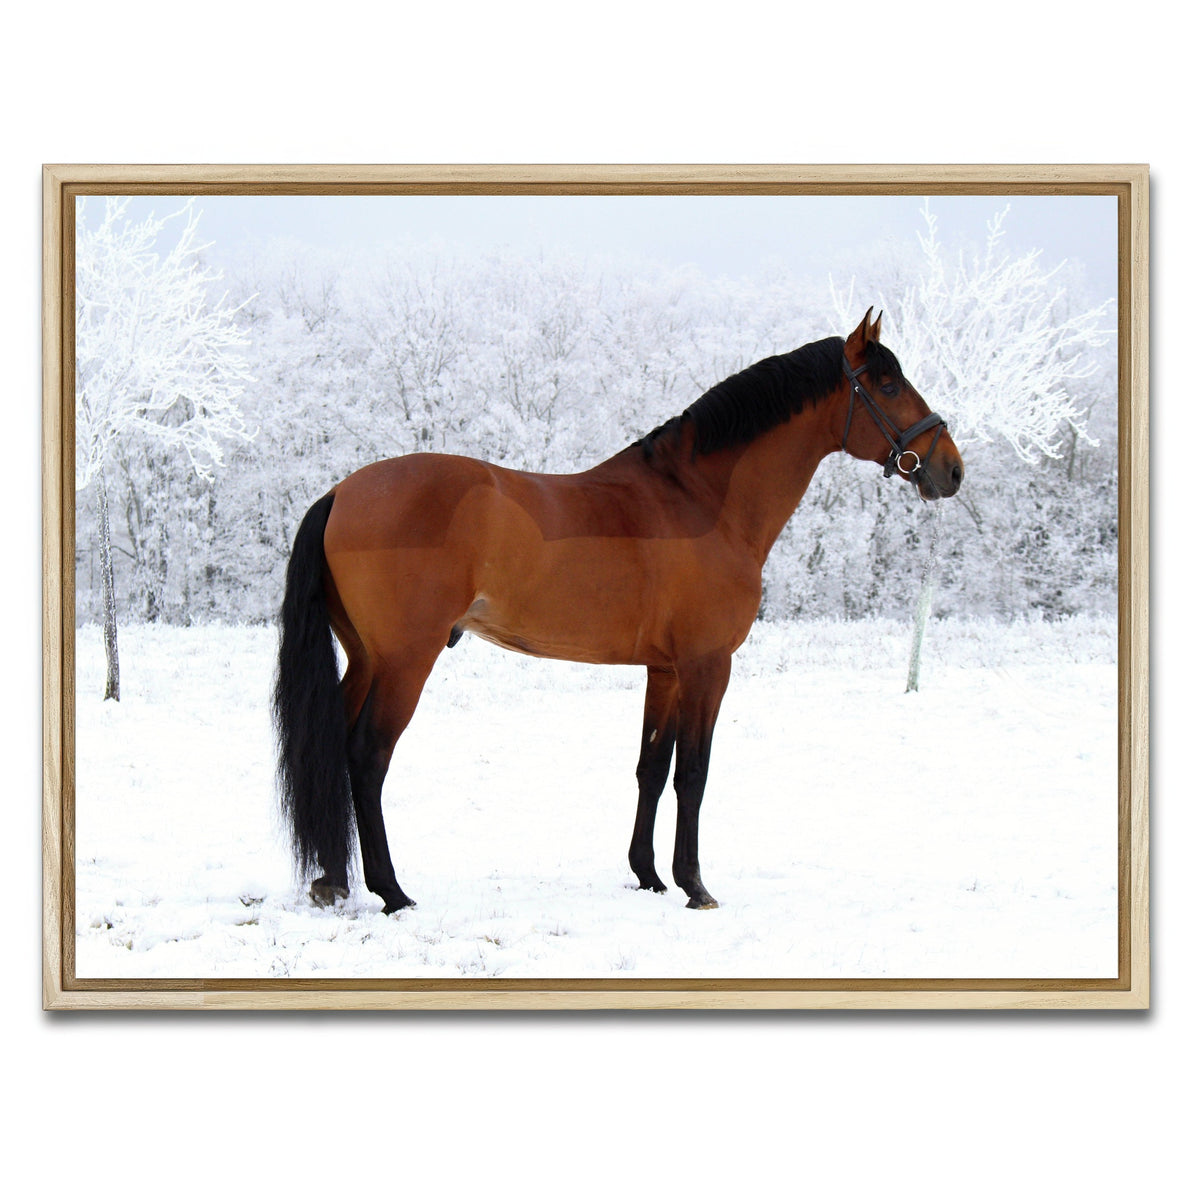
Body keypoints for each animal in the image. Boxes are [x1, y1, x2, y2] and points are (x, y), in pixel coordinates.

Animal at [273, 309, 963, 913]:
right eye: (886, 382)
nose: (950, 469)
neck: (699, 502)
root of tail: (340, 493)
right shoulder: (708, 665)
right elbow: (694, 773)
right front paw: (695, 886)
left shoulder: (666, 670)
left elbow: (651, 768)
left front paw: (649, 876)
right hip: (405, 661)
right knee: (367, 755)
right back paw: (391, 891)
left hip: (365, 658)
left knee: (332, 747)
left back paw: (332, 880)